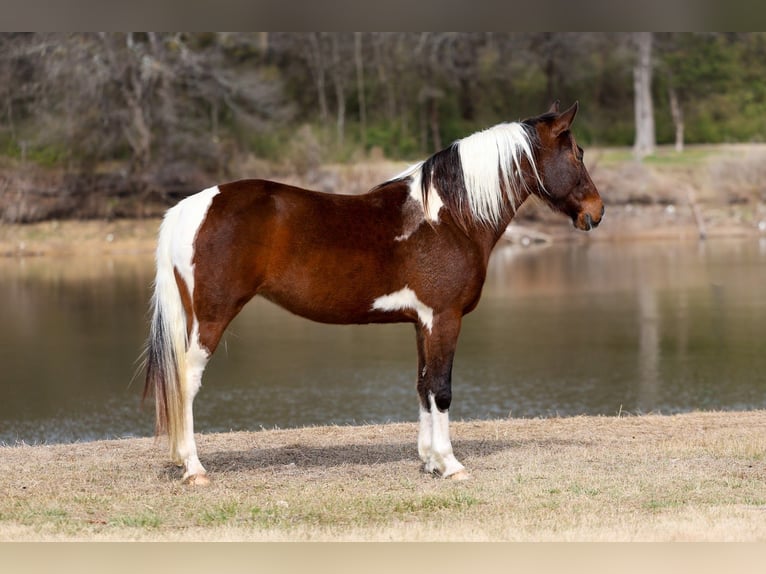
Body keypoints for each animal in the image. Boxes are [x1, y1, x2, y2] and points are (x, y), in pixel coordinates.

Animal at [143, 101, 603, 485]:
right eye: (578, 154)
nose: (596, 212)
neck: (450, 216)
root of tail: (190, 207)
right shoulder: (445, 318)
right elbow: (442, 389)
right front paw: (450, 464)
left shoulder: (422, 323)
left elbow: (423, 385)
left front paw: (429, 461)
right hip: (212, 316)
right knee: (186, 379)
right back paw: (194, 469)